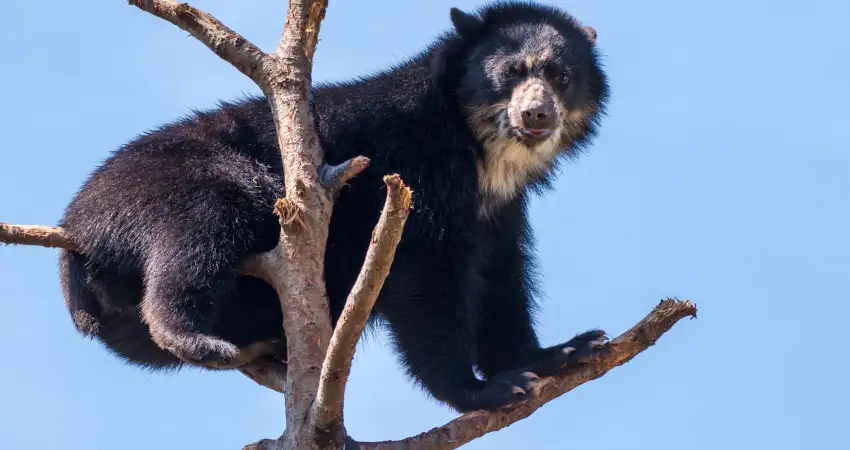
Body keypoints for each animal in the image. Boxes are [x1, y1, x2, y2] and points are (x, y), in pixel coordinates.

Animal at [58, 1, 608, 414]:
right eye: (510, 73)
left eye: (561, 76)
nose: (535, 115)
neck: (481, 154)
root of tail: (74, 233)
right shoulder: (415, 175)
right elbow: (426, 279)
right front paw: (484, 390)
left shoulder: (499, 209)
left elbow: (500, 277)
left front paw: (561, 353)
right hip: (166, 187)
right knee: (203, 226)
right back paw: (195, 338)